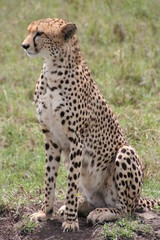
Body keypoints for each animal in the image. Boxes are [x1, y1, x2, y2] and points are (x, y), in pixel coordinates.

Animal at [21, 18, 158, 232]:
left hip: (125, 152)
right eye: (29, 31)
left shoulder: (76, 140)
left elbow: (70, 185)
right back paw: (79, 206)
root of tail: (139, 198)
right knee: (96, 201)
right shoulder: (51, 139)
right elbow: (49, 179)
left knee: (126, 209)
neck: (53, 69)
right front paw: (45, 213)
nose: (24, 45)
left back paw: (99, 213)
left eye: (39, 33)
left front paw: (70, 221)